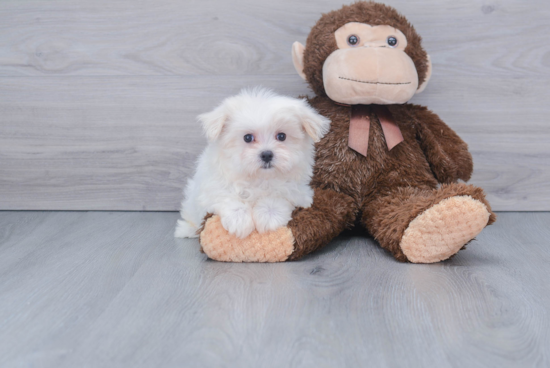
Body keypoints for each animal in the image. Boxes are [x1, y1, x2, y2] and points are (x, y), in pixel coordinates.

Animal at [177, 88, 330, 239]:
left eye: (282, 136)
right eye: (247, 138)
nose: (267, 154)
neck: (259, 178)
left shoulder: (299, 191)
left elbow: (280, 194)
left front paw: (269, 215)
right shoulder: (212, 186)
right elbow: (226, 195)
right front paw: (239, 220)